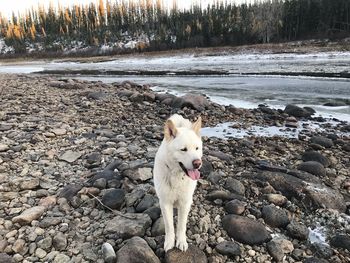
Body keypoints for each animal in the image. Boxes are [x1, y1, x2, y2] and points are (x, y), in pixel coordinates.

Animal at [153, 114, 202, 253]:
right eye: (183, 150)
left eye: (197, 148)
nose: (198, 163)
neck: (176, 175)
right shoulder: (165, 203)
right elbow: (169, 226)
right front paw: (170, 242)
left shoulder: (184, 203)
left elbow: (181, 225)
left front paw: (181, 241)